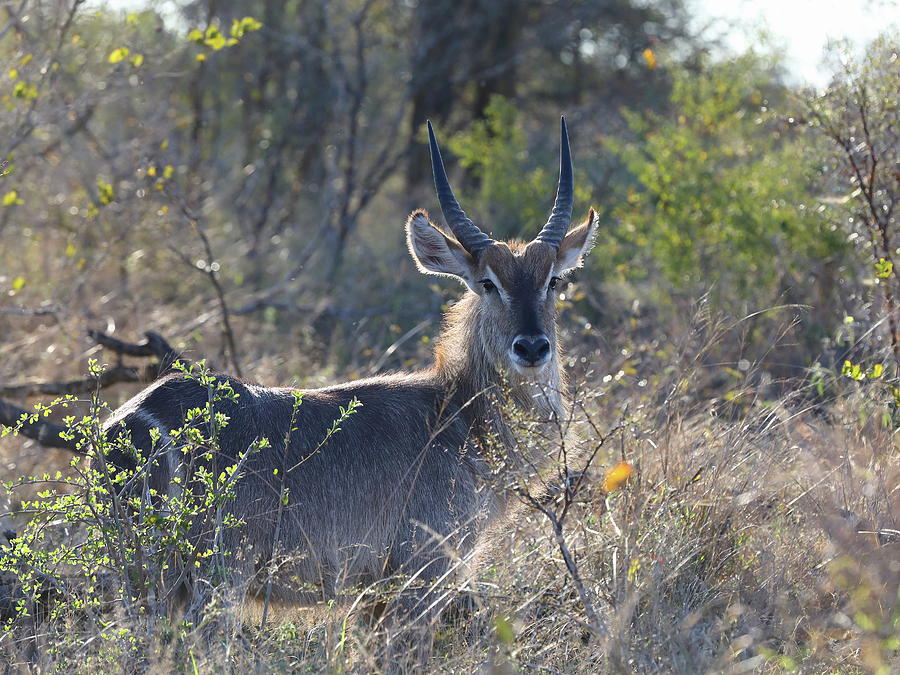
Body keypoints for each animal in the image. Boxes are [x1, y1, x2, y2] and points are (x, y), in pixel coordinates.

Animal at [100, 117, 596, 660]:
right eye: (488, 282)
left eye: (554, 281)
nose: (532, 347)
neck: (458, 414)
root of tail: (133, 420)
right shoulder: (424, 570)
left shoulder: (375, 590)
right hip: (215, 575)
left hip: (138, 579)